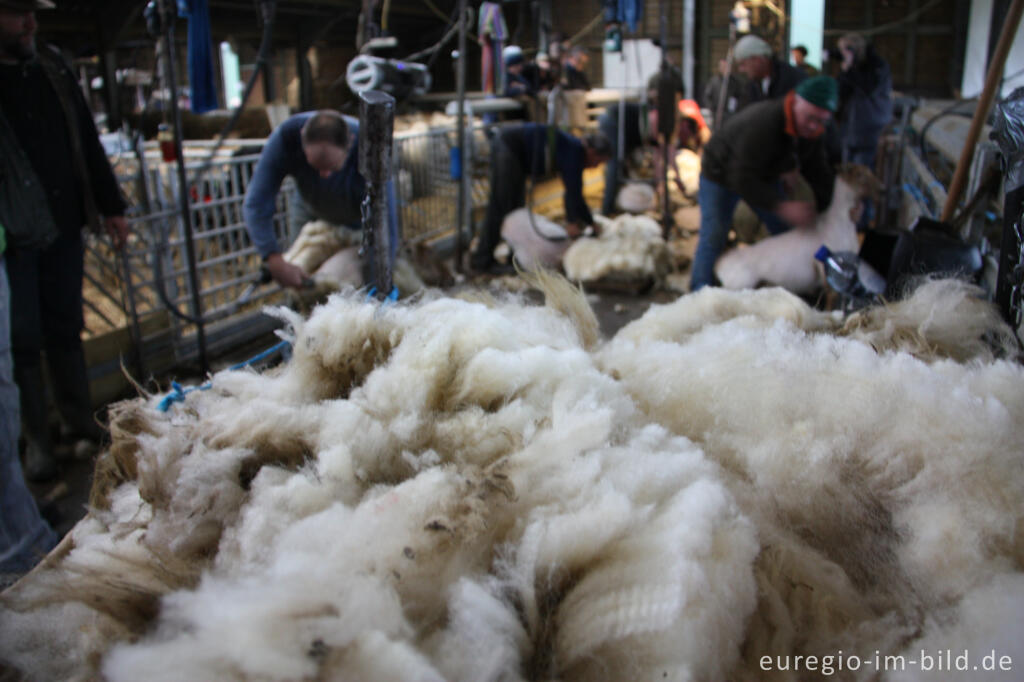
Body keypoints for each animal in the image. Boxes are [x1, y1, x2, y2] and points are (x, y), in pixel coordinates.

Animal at [716, 164, 884, 294]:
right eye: (860, 175)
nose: (882, 189)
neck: (840, 222)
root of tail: (721, 263)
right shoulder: (827, 268)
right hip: (738, 286)